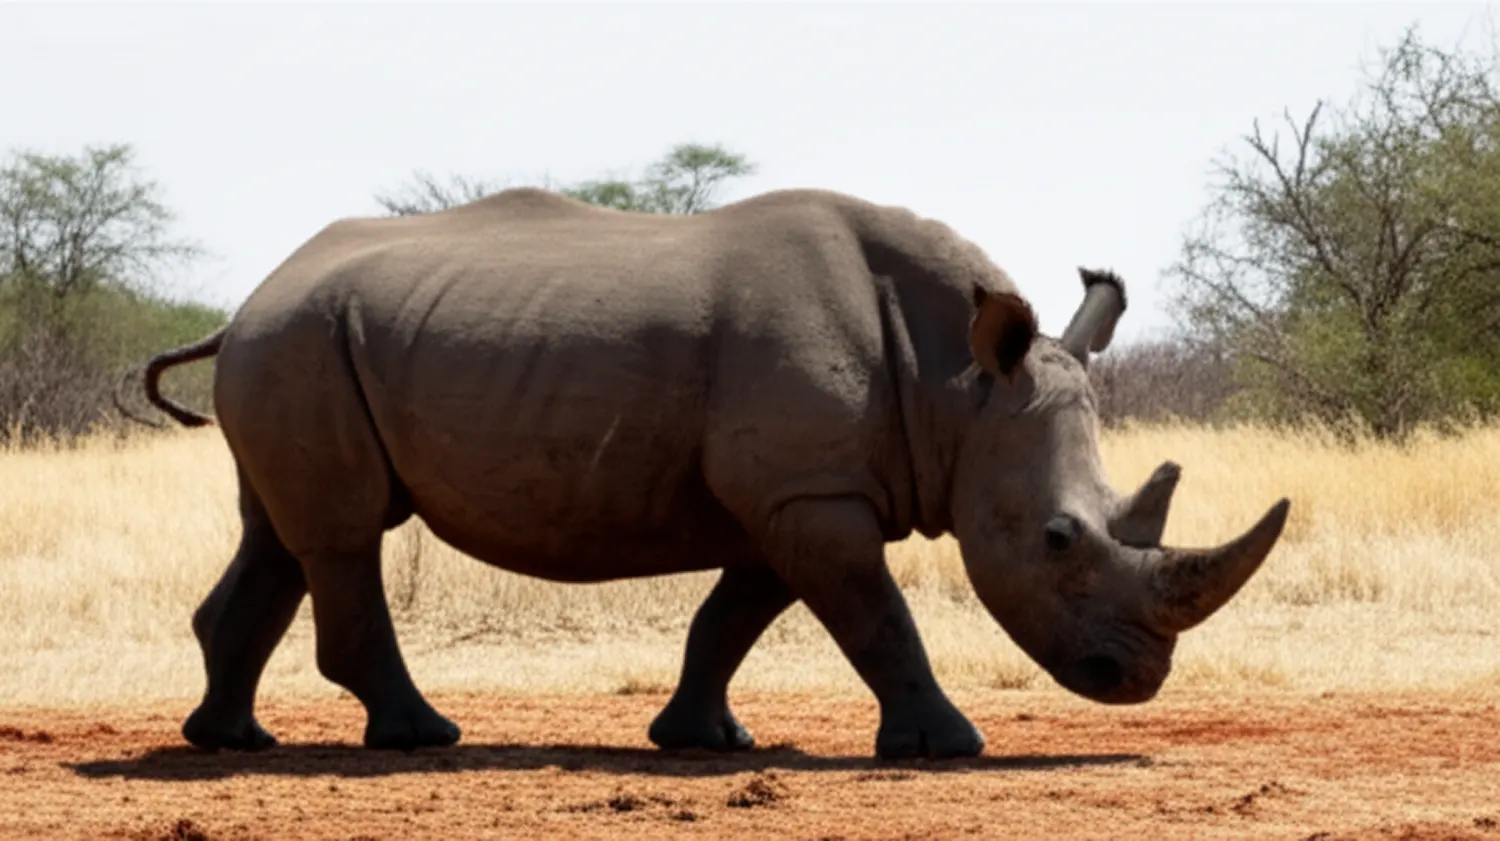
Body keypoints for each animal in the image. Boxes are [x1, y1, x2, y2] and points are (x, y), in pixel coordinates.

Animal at [132, 187, 1289, 759]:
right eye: (1058, 539)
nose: (1134, 681)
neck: (959, 385)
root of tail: (247, 298)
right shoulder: (811, 493)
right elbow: (877, 619)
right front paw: (948, 745)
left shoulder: (797, 492)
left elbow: (731, 618)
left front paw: (704, 740)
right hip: (298, 342)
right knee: (341, 534)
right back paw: (422, 738)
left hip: (297, 344)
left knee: (281, 534)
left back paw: (231, 741)